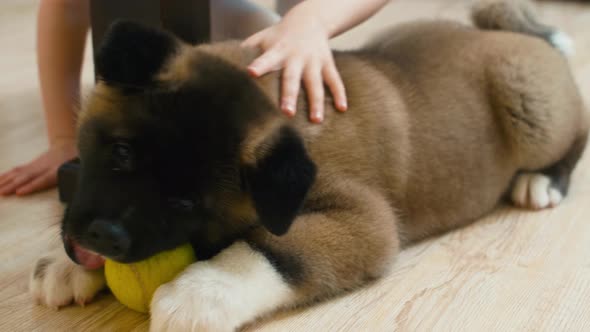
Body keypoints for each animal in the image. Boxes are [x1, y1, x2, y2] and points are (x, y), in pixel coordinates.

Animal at [31, 1, 588, 330]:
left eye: (186, 203)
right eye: (121, 152)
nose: (105, 236)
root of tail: (521, 38)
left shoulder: (365, 219)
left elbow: (271, 251)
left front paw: (202, 292)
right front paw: (66, 264)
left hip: (532, 109)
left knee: (575, 139)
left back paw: (541, 182)